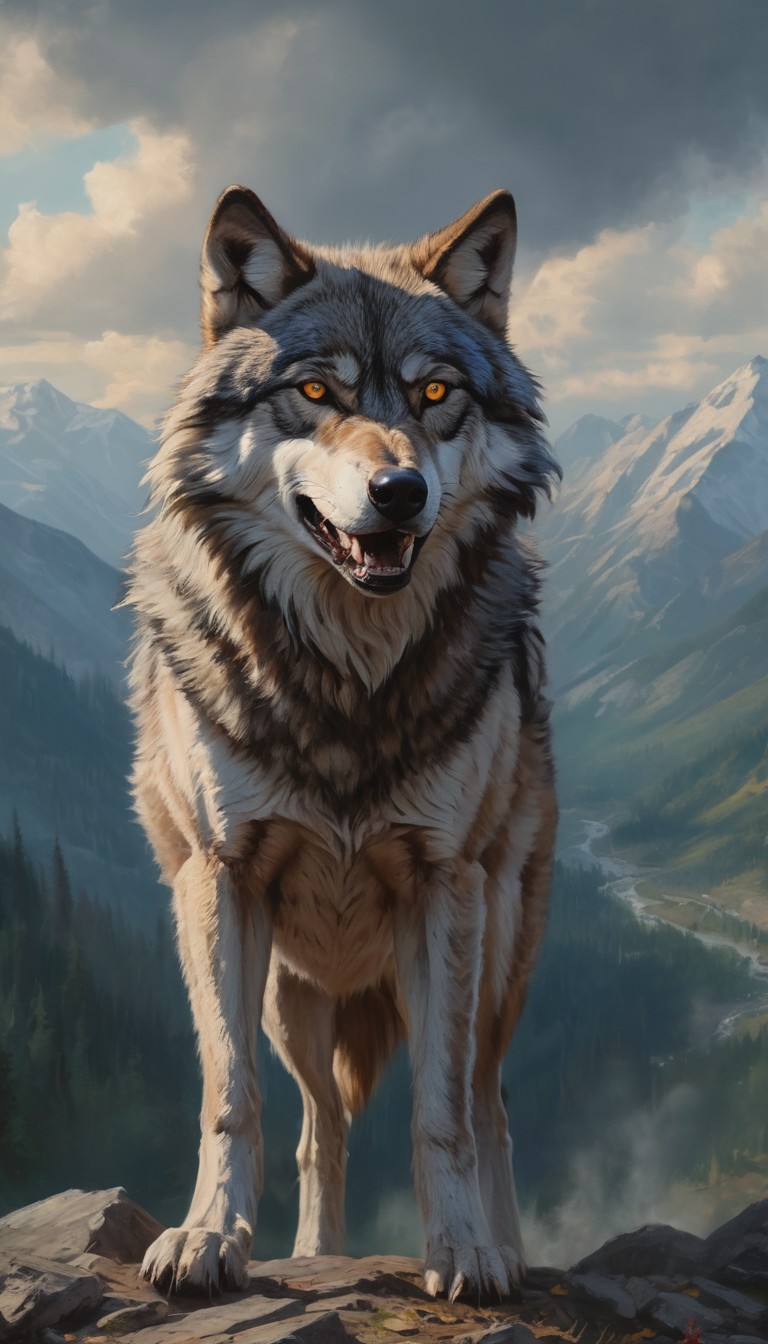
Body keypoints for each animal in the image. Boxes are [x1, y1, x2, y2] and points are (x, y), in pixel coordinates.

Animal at [128, 185, 559, 1302]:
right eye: (316, 390)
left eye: (436, 392)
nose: (400, 493)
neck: (345, 687)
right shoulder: (220, 881)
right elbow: (230, 1098)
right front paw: (208, 1239)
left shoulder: (445, 885)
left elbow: (441, 1113)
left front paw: (464, 1253)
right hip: (293, 999)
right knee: (320, 1124)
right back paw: (315, 1254)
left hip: (501, 943)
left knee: (490, 1103)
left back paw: (510, 1247)